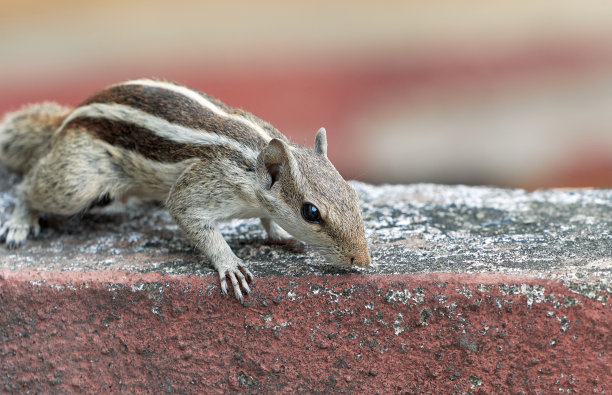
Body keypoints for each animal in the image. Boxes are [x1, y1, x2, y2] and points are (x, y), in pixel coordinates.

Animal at [0, 78, 372, 300]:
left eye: (352, 194)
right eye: (311, 212)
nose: (363, 260)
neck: (251, 161)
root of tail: (69, 117)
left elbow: (267, 219)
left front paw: (279, 235)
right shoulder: (205, 184)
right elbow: (186, 211)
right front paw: (230, 264)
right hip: (78, 182)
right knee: (32, 183)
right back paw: (19, 221)